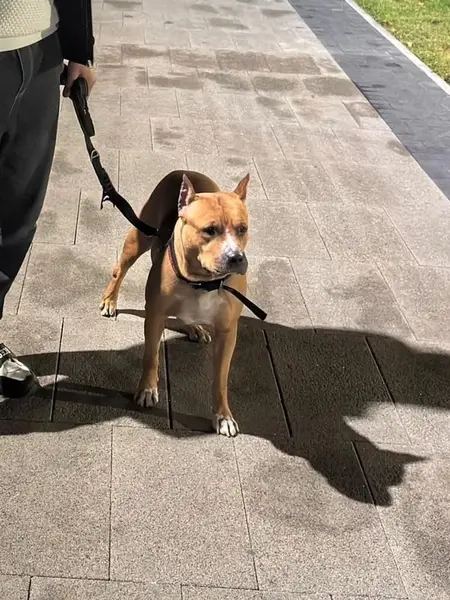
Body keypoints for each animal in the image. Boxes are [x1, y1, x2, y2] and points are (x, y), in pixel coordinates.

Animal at [100, 170, 250, 437]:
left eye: (242, 229)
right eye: (210, 230)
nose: (236, 257)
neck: (203, 283)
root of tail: (184, 172)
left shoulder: (227, 331)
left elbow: (221, 378)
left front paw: (223, 416)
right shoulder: (155, 316)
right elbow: (151, 356)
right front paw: (147, 390)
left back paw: (194, 328)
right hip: (138, 237)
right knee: (120, 269)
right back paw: (110, 300)